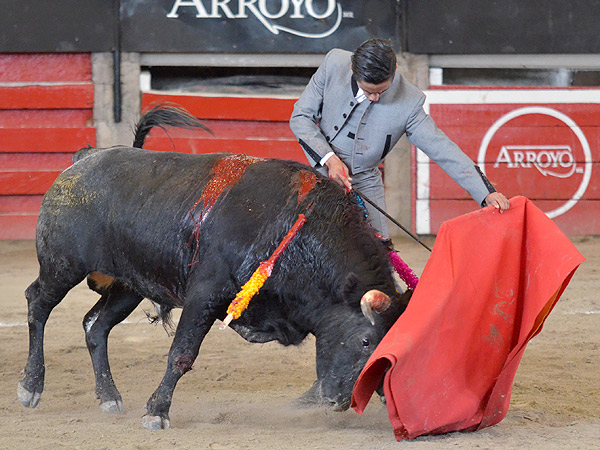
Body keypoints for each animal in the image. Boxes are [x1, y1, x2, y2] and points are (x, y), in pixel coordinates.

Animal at [19, 104, 412, 428]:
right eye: (365, 340)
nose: (339, 401)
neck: (296, 230)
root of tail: (85, 159)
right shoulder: (205, 294)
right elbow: (182, 353)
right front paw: (157, 412)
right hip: (62, 265)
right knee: (38, 304)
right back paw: (30, 386)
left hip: (129, 285)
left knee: (95, 326)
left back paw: (109, 398)